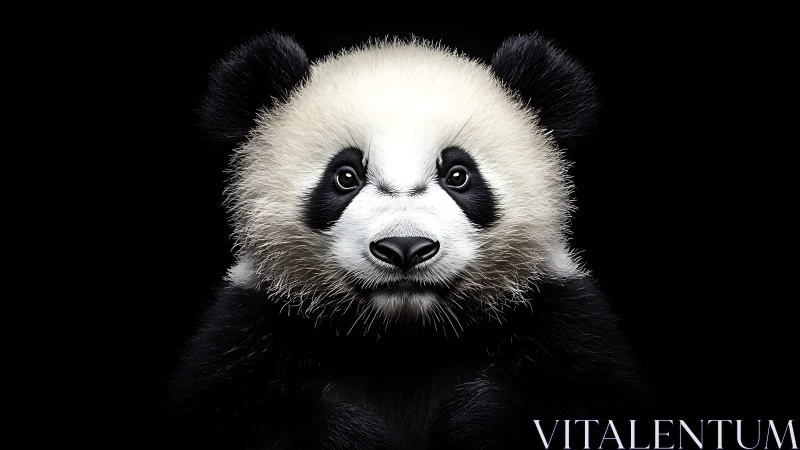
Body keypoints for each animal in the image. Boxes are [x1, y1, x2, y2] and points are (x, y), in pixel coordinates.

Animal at [161, 30, 652, 449]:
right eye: (345, 177)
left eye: (459, 175)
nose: (404, 249)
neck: (404, 342)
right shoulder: (249, 333)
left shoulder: (562, 321)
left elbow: (577, 407)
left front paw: (473, 417)